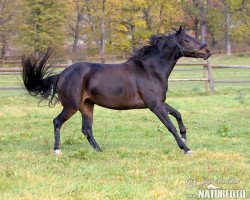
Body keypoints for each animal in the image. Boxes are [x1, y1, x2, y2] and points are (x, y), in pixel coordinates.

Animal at [22, 26, 212, 155]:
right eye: (187, 40)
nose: (207, 50)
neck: (150, 70)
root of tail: (61, 74)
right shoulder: (154, 105)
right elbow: (170, 126)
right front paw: (186, 148)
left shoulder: (158, 102)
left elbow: (178, 114)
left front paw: (185, 136)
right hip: (71, 106)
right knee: (57, 122)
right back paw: (57, 150)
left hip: (87, 106)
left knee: (86, 129)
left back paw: (99, 151)